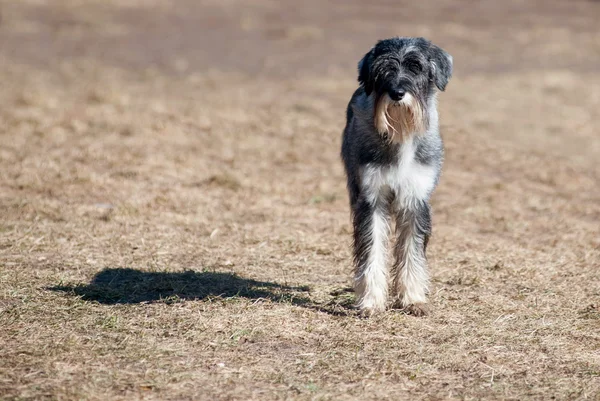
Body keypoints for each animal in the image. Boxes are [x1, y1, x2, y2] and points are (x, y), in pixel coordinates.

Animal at [340, 36, 452, 316]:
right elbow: (371, 250)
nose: (397, 93)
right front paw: (370, 302)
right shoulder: (372, 200)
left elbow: (412, 252)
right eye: (382, 69)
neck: (401, 133)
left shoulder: (415, 200)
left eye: (416, 67)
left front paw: (413, 299)